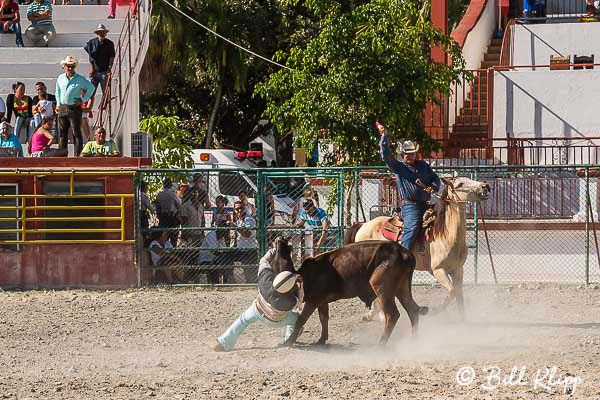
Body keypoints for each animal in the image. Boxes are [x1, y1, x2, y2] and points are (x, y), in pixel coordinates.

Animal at [282, 241, 426, 346]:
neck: (308, 274)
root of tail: (403, 252)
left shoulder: (313, 301)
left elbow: (301, 320)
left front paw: (288, 341)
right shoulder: (322, 302)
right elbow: (323, 319)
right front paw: (321, 340)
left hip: (382, 288)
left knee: (392, 314)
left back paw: (381, 343)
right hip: (402, 289)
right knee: (413, 310)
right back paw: (414, 340)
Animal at [344, 175, 490, 318]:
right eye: (460, 184)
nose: (485, 186)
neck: (447, 236)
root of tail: (363, 225)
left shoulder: (458, 270)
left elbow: (459, 295)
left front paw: (463, 320)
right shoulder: (438, 270)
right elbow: (452, 291)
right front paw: (435, 311)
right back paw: (376, 313)